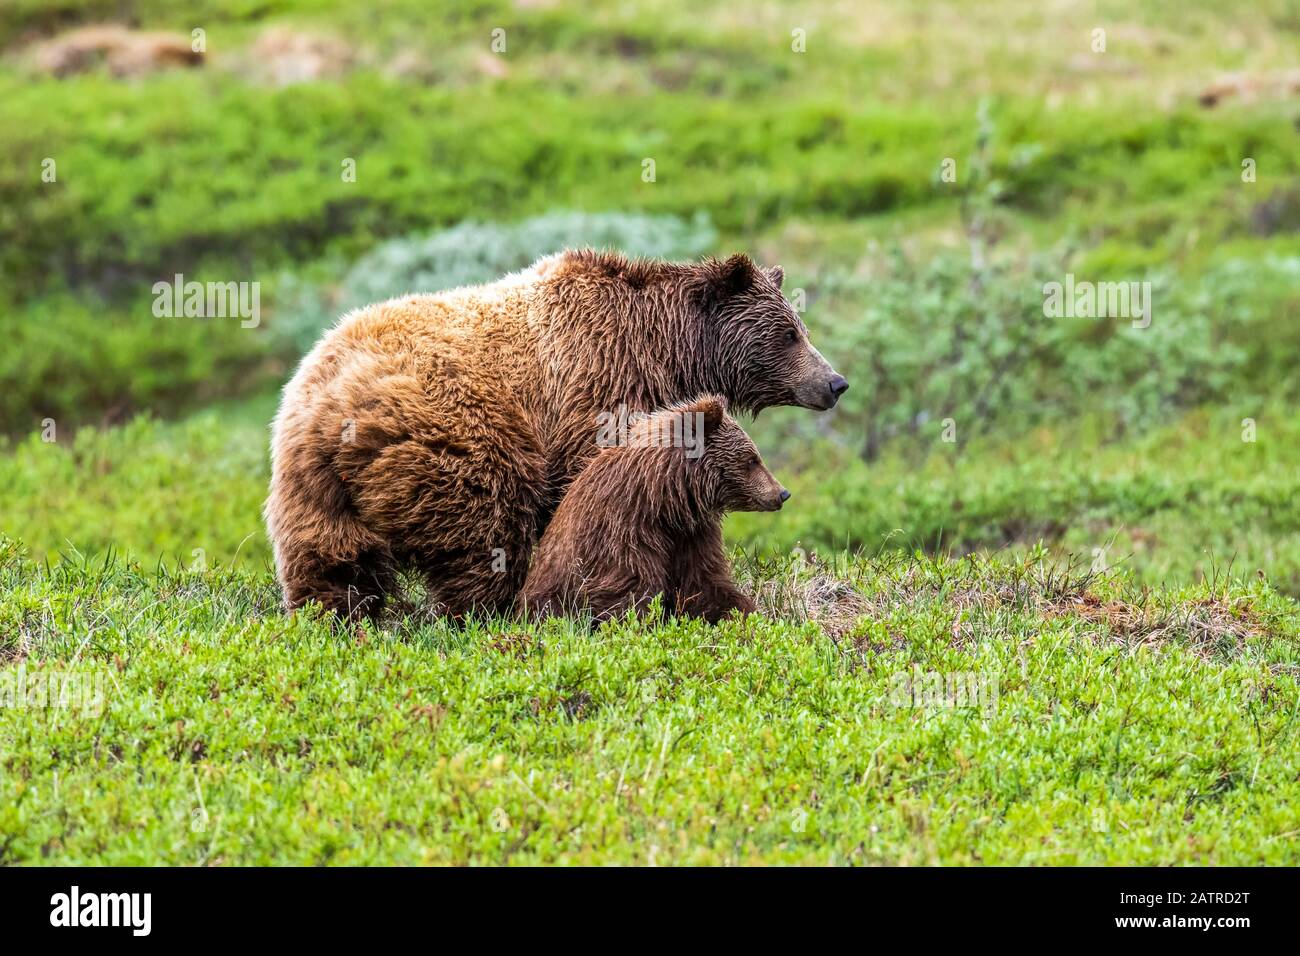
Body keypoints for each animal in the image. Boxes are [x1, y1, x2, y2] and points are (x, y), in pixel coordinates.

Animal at [514, 395, 780, 624]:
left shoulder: (692, 532)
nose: (781, 493)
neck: (664, 499)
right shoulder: (623, 527)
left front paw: (744, 612)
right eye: (751, 460)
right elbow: (630, 589)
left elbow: (702, 582)